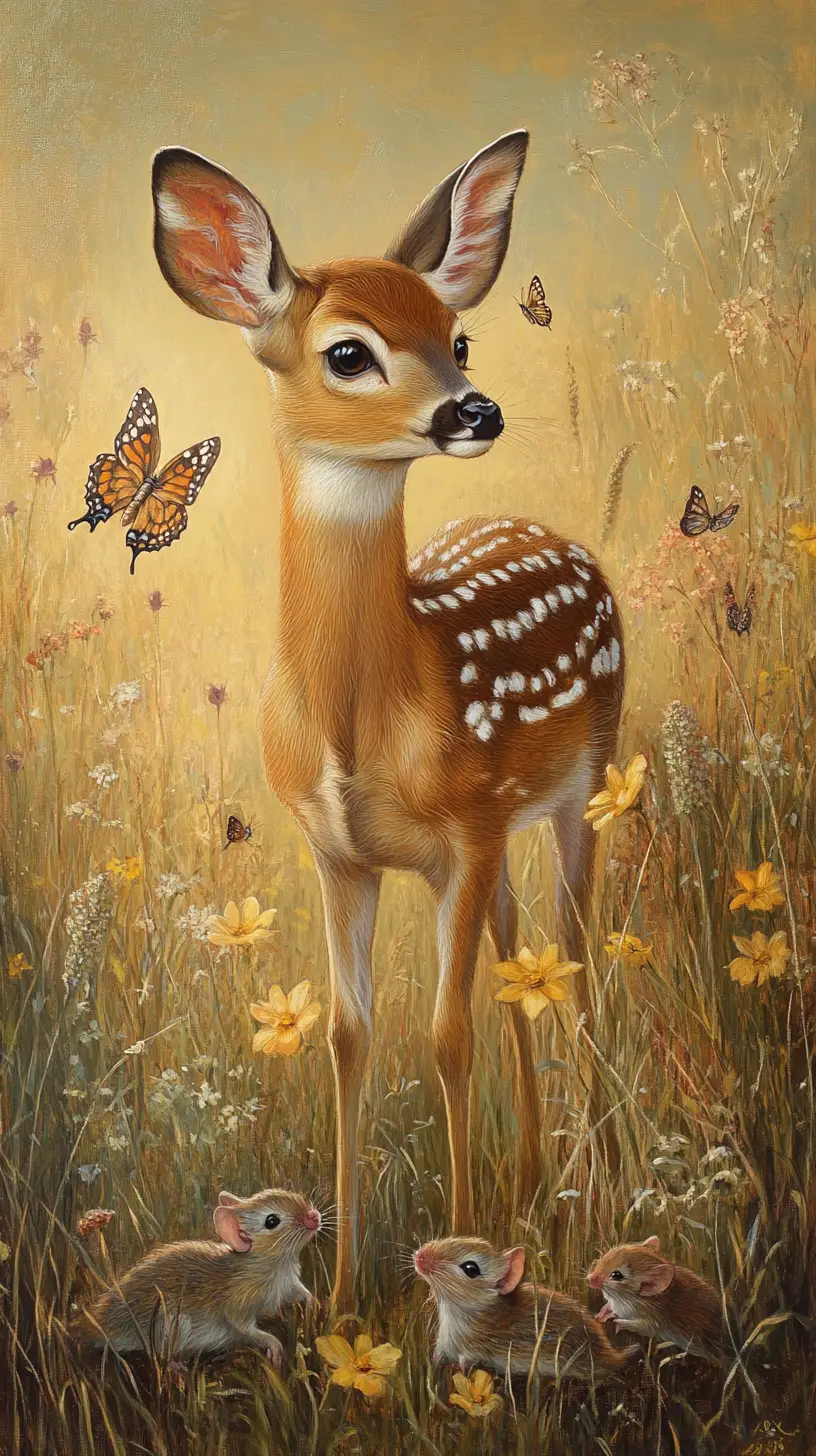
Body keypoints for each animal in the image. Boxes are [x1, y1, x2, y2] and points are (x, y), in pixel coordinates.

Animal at [151, 130, 624, 1312]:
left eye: (457, 336)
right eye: (349, 353)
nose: (474, 409)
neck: (368, 721)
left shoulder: (463, 828)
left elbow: (447, 1037)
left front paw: (458, 1259)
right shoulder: (340, 852)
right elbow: (351, 1036)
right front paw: (342, 1283)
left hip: (583, 781)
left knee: (575, 946)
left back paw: (588, 1176)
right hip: (502, 832)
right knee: (520, 950)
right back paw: (535, 1175)